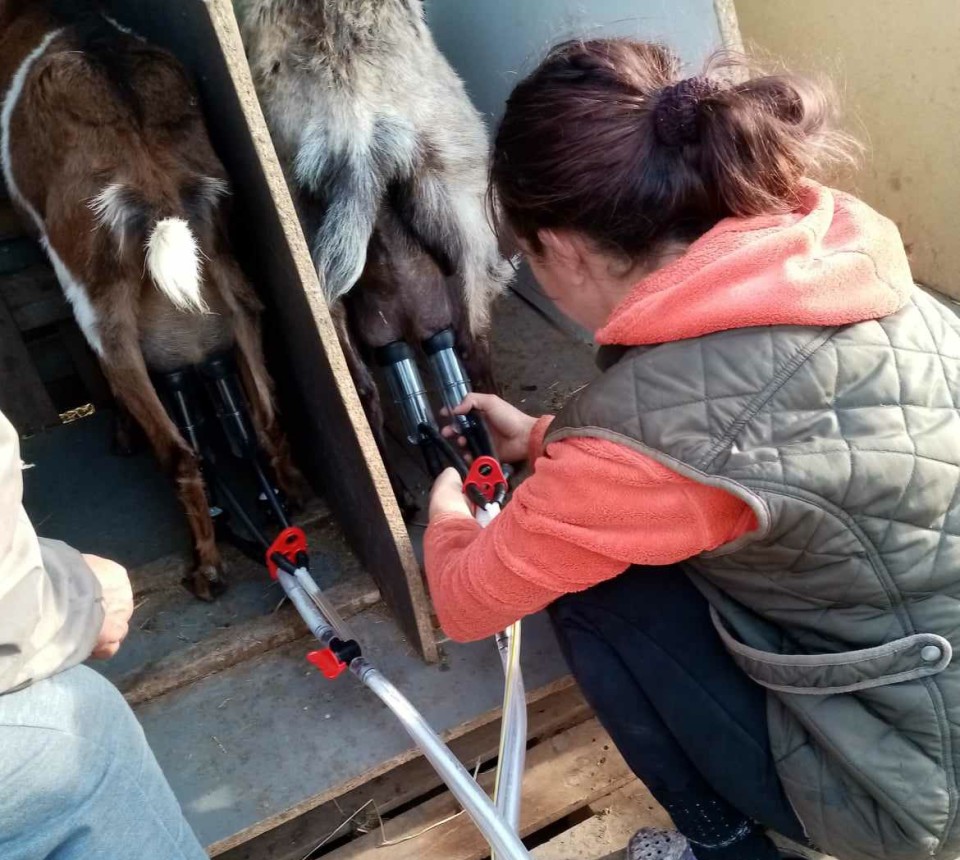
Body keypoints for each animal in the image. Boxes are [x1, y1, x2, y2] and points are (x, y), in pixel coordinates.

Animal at [0, 1, 300, 596]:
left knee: (179, 454)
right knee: (267, 419)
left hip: (109, 322)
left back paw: (206, 569)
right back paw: (290, 499)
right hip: (236, 294)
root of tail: (158, 195)